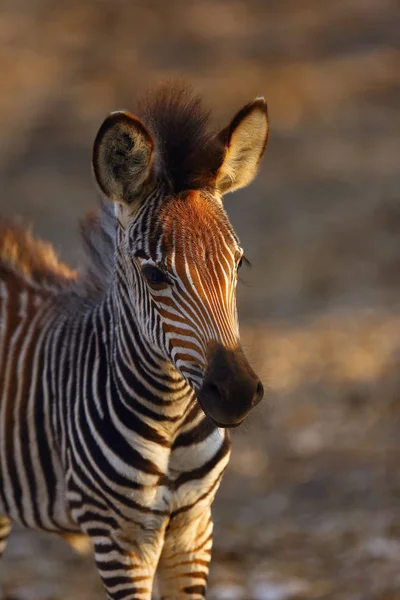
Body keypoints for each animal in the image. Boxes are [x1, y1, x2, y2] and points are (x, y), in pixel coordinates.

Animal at [0, 82, 268, 596]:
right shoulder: (119, 540)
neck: (173, 420)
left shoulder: (195, 529)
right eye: (155, 275)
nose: (238, 393)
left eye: (239, 263)